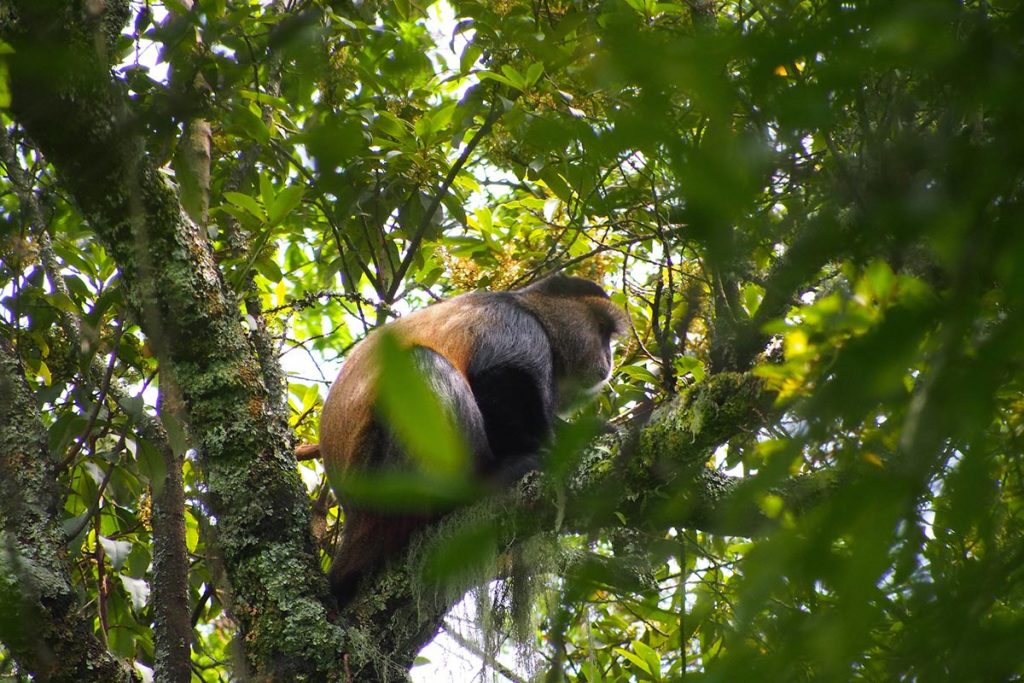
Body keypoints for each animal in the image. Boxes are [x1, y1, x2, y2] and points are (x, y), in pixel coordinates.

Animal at [317, 274, 622, 606]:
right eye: (601, 330)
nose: (609, 359)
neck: (530, 307)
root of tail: (355, 517)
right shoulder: (517, 326)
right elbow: (498, 377)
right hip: (386, 478)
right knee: (424, 362)